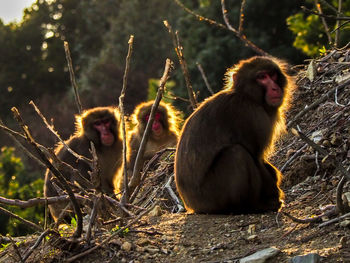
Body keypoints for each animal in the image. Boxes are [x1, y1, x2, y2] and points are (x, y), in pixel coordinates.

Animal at [175, 56, 296, 216]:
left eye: (272, 75)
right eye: (262, 77)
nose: (275, 88)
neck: (246, 95)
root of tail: (192, 206)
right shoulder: (251, 115)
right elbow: (256, 156)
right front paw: (274, 196)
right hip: (212, 197)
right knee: (236, 153)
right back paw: (247, 206)